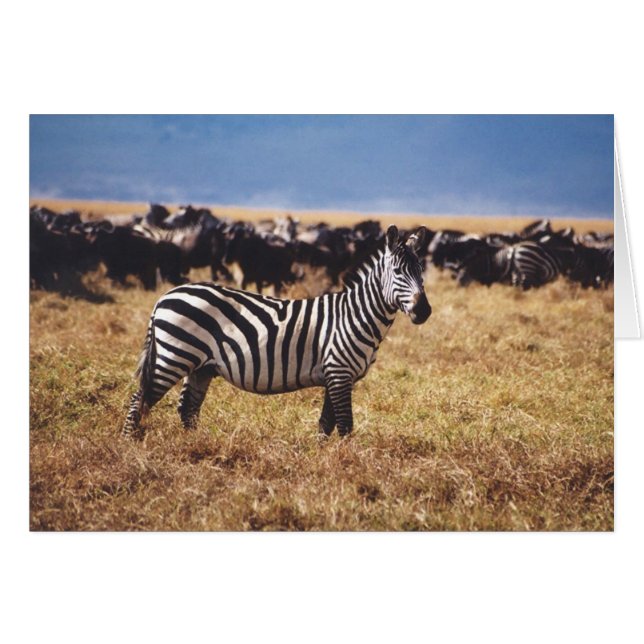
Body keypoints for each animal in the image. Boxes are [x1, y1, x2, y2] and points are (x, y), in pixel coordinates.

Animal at [122, 225, 431, 439]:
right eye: (398, 272)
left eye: (421, 272)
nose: (424, 311)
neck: (356, 316)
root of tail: (165, 297)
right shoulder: (339, 371)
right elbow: (344, 425)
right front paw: (346, 462)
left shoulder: (337, 376)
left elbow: (325, 423)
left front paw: (322, 458)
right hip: (173, 357)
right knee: (140, 400)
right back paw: (129, 444)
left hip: (201, 366)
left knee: (187, 408)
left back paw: (194, 445)